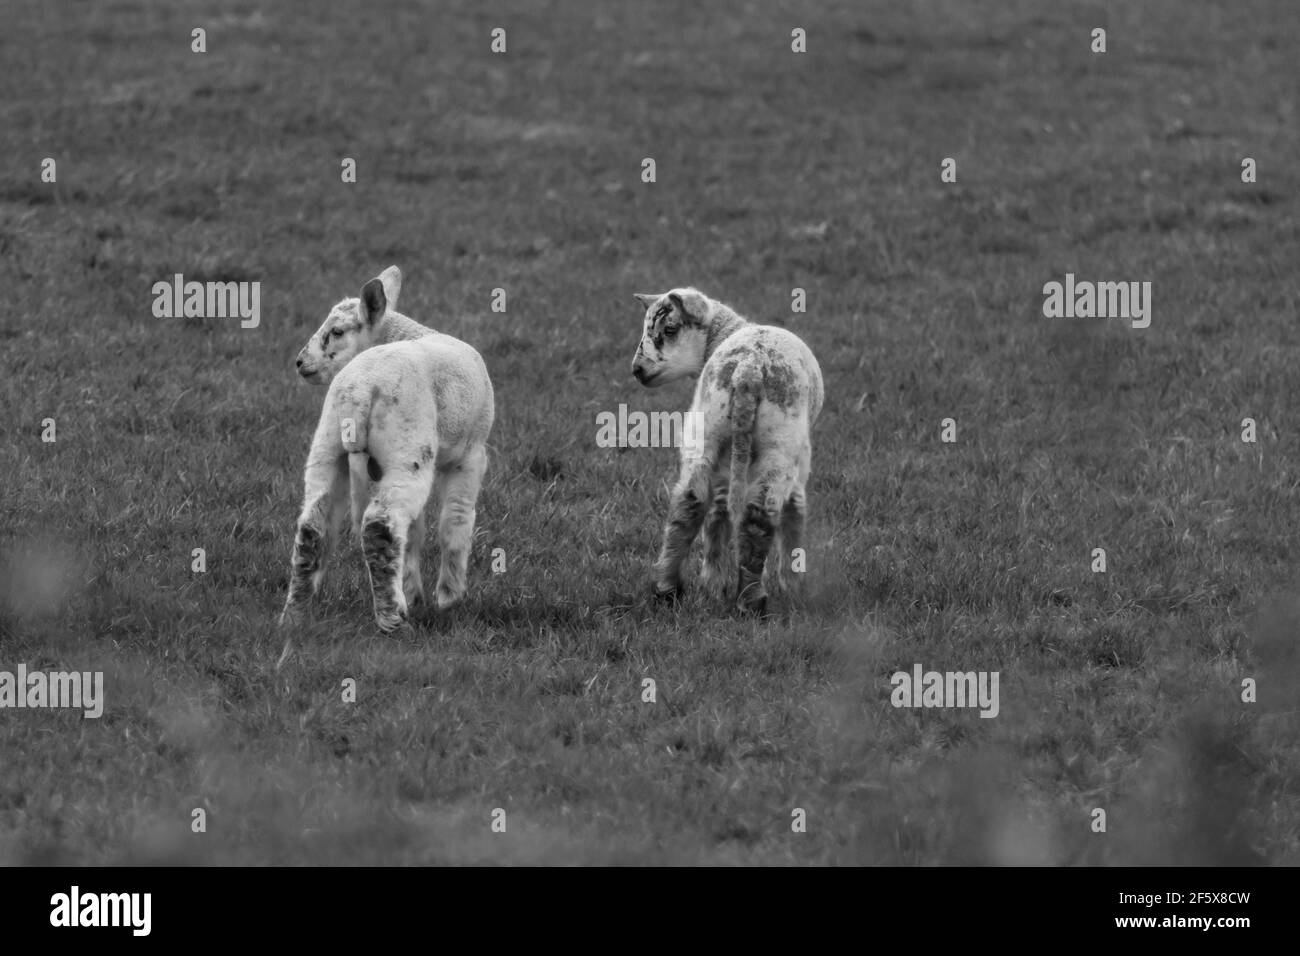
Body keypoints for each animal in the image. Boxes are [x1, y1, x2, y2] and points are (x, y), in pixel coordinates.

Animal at [278, 269, 491, 639]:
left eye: (336, 332)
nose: (300, 362)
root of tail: (360, 390)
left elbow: (415, 532)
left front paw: (415, 592)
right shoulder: (471, 455)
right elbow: (456, 520)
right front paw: (449, 598)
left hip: (329, 444)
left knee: (314, 526)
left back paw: (296, 614)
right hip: (408, 449)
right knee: (379, 526)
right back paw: (393, 619)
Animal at [629, 286, 821, 613]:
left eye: (670, 330)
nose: (637, 369)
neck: (727, 331)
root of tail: (749, 371)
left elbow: (717, 512)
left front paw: (713, 583)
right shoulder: (800, 461)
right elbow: (795, 511)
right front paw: (791, 584)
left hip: (708, 425)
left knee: (688, 502)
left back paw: (666, 587)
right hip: (780, 441)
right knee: (759, 514)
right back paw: (752, 600)